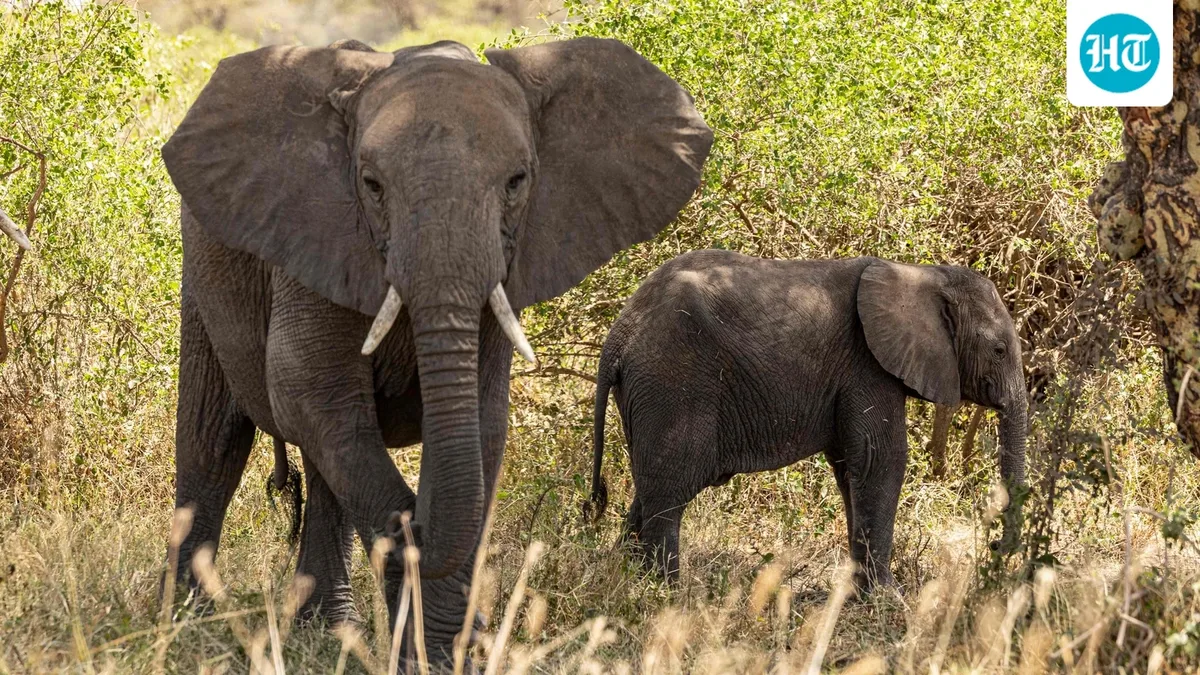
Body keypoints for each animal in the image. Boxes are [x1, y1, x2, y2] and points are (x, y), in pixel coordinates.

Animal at [159, 36, 712, 666]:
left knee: (326, 464)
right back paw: (187, 623)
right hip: (204, 270)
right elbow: (303, 387)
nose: (415, 529)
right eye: (371, 185)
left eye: (517, 181)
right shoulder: (314, 235)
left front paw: (445, 650)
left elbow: (480, 423)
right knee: (216, 438)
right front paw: (422, 610)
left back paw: (327, 633)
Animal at [589, 250, 1028, 590]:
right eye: (1000, 350)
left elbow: (850, 467)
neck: (923, 272)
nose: (995, 548)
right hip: (672, 381)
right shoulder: (868, 365)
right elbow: (881, 459)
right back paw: (666, 596)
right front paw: (886, 596)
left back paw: (627, 580)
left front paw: (856, 593)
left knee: (649, 488)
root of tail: (618, 336)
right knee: (669, 492)